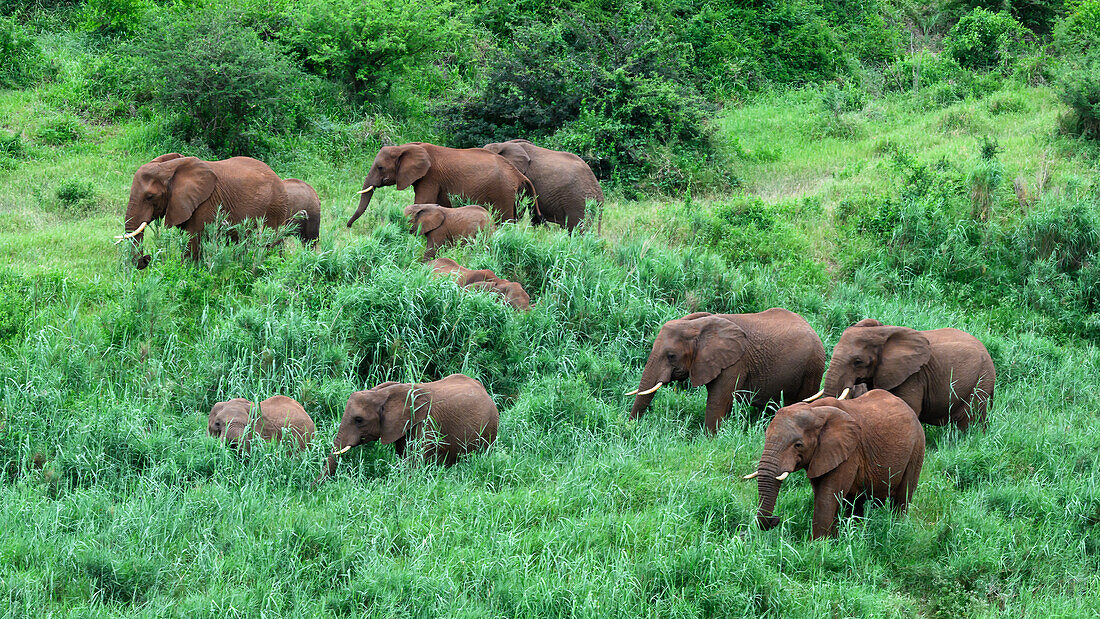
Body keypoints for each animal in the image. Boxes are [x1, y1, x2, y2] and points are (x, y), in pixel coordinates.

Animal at [118, 153, 294, 267]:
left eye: (150, 197)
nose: (147, 258)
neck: (169, 167)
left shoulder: (206, 203)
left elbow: (192, 240)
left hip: (275, 208)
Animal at [345, 141, 539, 225]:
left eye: (380, 167)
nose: (348, 226)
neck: (405, 147)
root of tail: (517, 174)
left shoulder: (430, 177)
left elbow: (422, 202)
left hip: (502, 191)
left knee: (505, 219)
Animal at [629, 310, 827, 435]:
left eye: (671, 356)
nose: (630, 425)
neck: (697, 326)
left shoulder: (736, 363)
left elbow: (718, 401)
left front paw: (708, 441)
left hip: (813, 367)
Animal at [818, 318, 998, 430]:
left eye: (858, 361)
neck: (882, 332)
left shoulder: (913, 376)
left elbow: (908, 406)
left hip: (981, 379)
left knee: (970, 419)